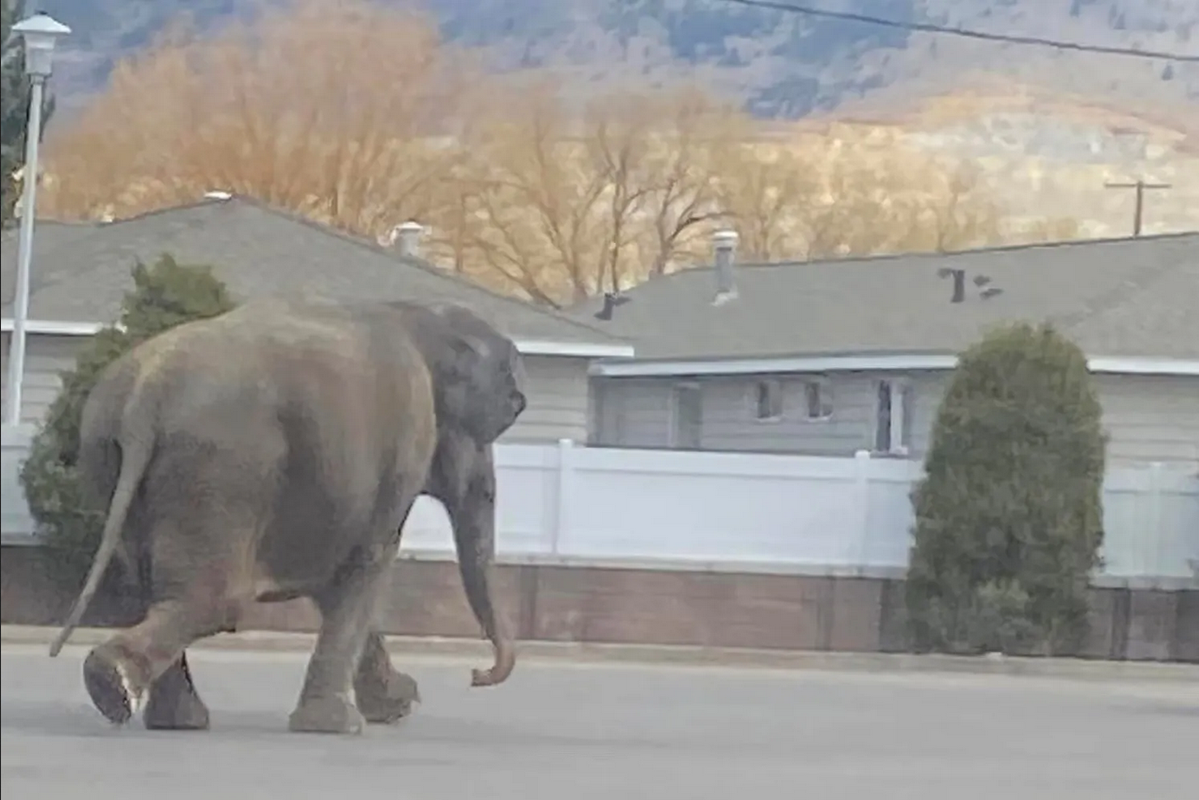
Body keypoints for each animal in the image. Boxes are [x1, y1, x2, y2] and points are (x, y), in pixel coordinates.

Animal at [46, 294, 527, 734]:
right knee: (212, 600)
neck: (418, 314)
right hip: (226, 468)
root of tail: (148, 392)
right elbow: (368, 563)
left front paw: (395, 705)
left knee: (151, 590)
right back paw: (115, 685)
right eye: (490, 429)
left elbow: (335, 582)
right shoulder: (404, 443)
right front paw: (340, 725)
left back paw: (169, 717)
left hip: (112, 462)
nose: (475, 675)